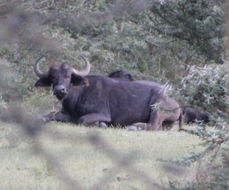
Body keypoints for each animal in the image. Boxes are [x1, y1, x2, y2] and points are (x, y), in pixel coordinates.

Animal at [34, 58, 182, 131]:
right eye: (53, 77)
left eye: (69, 76)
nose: (60, 90)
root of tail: (177, 104)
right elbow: (48, 115)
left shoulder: (103, 114)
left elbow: (82, 120)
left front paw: (101, 125)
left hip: (157, 105)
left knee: (153, 126)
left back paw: (134, 126)